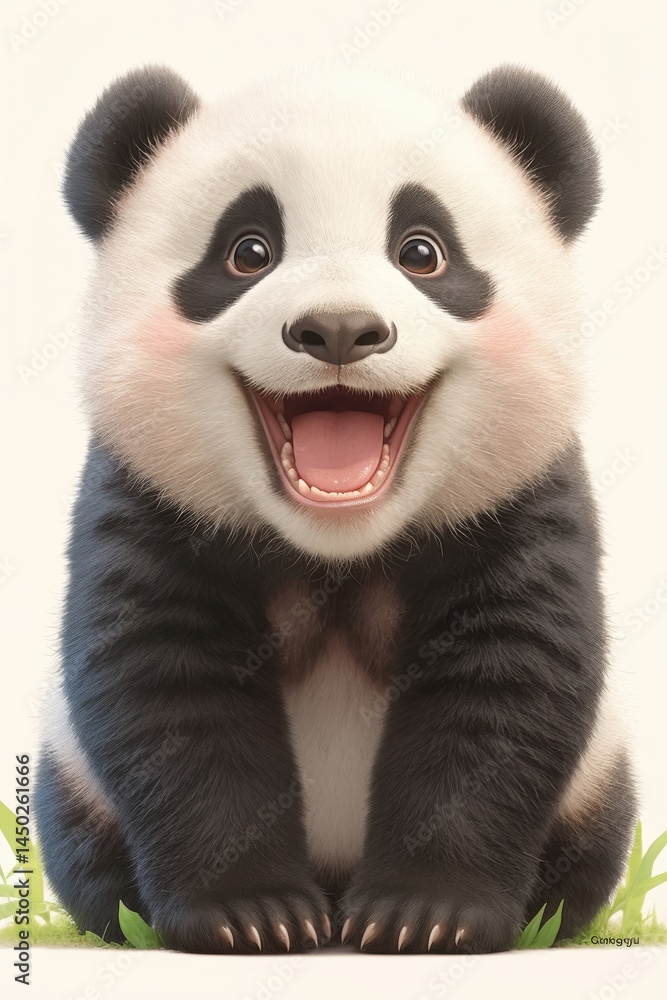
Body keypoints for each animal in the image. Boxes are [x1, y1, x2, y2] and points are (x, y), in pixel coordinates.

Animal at [34, 61, 636, 955]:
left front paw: (428, 915)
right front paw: (250, 916)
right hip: (72, 778)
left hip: (597, 777)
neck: (336, 544)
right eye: (248, 251)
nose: (340, 328)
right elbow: (170, 687)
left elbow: (500, 685)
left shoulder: (517, 498)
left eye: (421, 251)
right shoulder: (149, 498)